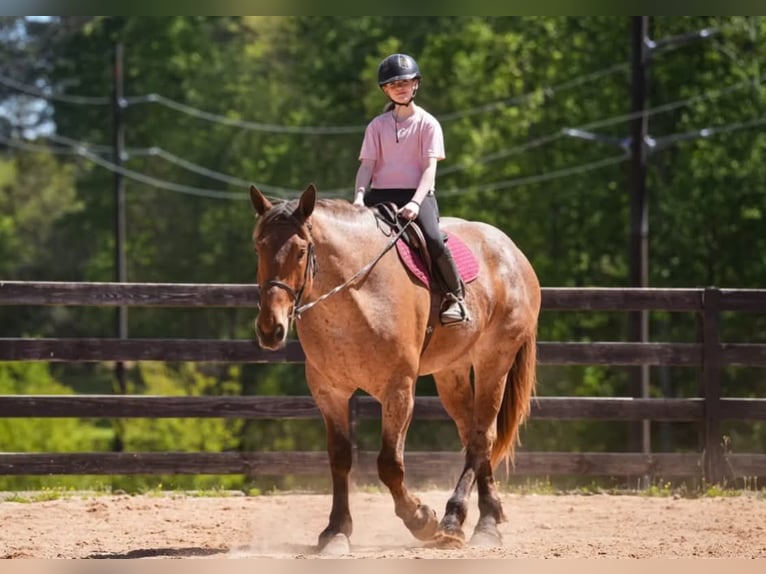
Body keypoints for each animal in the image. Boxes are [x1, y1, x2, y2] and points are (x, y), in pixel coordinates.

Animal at [249, 183, 541, 554]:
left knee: (481, 436)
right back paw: (488, 516)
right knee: (472, 435)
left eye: (301, 252)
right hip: (452, 372)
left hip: (494, 362)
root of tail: (511, 251)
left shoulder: (398, 389)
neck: (358, 293)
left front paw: (421, 519)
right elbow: (340, 457)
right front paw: (336, 530)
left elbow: (389, 464)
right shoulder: (329, 392)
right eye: (259, 246)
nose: (270, 329)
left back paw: (456, 521)